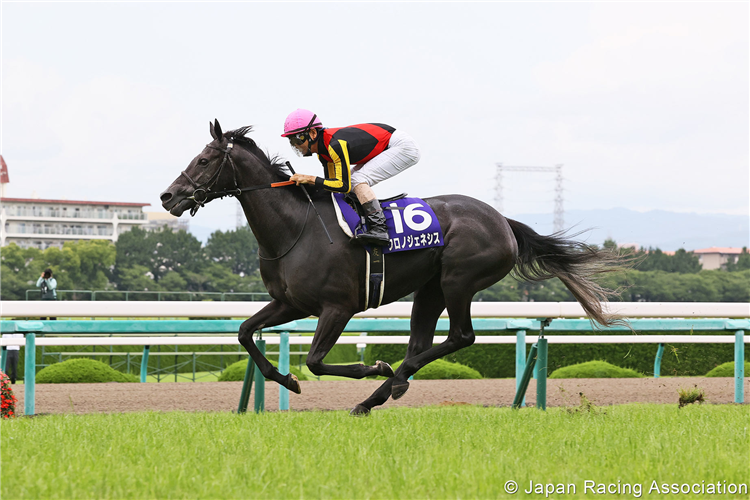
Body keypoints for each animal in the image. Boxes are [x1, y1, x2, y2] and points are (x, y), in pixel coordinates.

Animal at [162, 120, 624, 414]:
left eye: (204, 160)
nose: (168, 196)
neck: (297, 227)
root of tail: (502, 220)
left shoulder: (338, 307)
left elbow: (315, 361)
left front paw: (370, 367)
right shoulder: (290, 303)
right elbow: (244, 332)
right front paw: (285, 379)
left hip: (458, 280)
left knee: (460, 336)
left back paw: (387, 382)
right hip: (430, 287)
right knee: (420, 343)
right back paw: (381, 393)